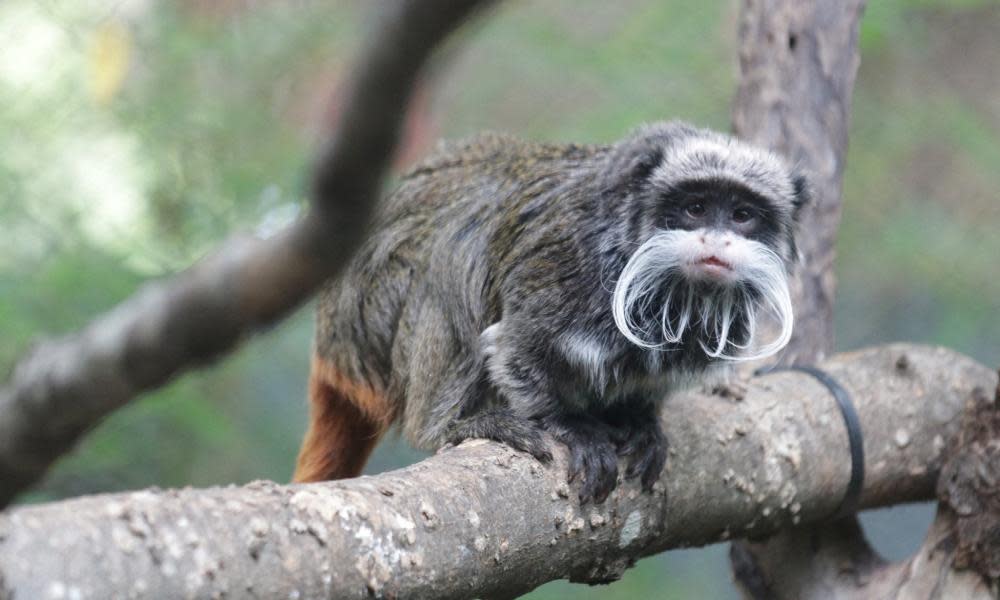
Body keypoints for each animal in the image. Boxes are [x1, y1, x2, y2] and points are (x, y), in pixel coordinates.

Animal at [292, 120, 804, 502]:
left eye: (742, 215)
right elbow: (515, 350)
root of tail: (329, 341)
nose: (717, 240)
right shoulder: (564, 267)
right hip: (370, 319)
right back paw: (450, 424)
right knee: (453, 255)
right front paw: (569, 426)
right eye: (695, 207)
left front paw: (640, 420)